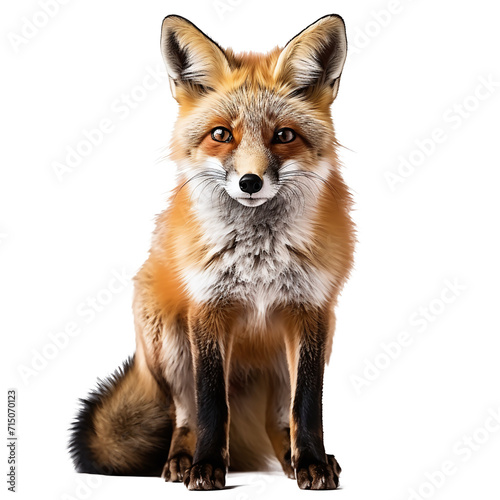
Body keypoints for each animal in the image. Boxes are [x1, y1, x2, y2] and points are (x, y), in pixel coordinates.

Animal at [69, 13, 356, 490]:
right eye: (221, 134)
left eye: (284, 135)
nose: (250, 182)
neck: (258, 256)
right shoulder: (207, 308)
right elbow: (210, 404)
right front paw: (206, 466)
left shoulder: (312, 310)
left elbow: (307, 405)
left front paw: (312, 462)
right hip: (167, 338)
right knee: (186, 413)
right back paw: (182, 459)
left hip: (298, 349)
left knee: (279, 418)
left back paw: (293, 458)